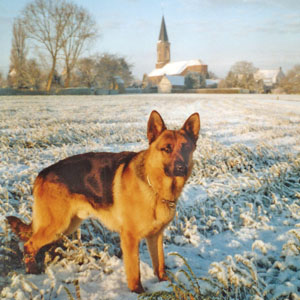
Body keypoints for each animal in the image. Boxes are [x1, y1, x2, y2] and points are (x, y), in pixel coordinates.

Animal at [6, 110, 199, 292]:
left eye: (185, 148)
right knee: (29, 245)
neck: (155, 188)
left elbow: (160, 264)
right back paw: (32, 272)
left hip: (67, 225)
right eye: (166, 149)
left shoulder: (156, 236)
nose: (181, 168)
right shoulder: (130, 238)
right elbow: (134, 270)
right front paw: (138, 292)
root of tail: (42, 173)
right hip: (56, 226)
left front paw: (165, 284)